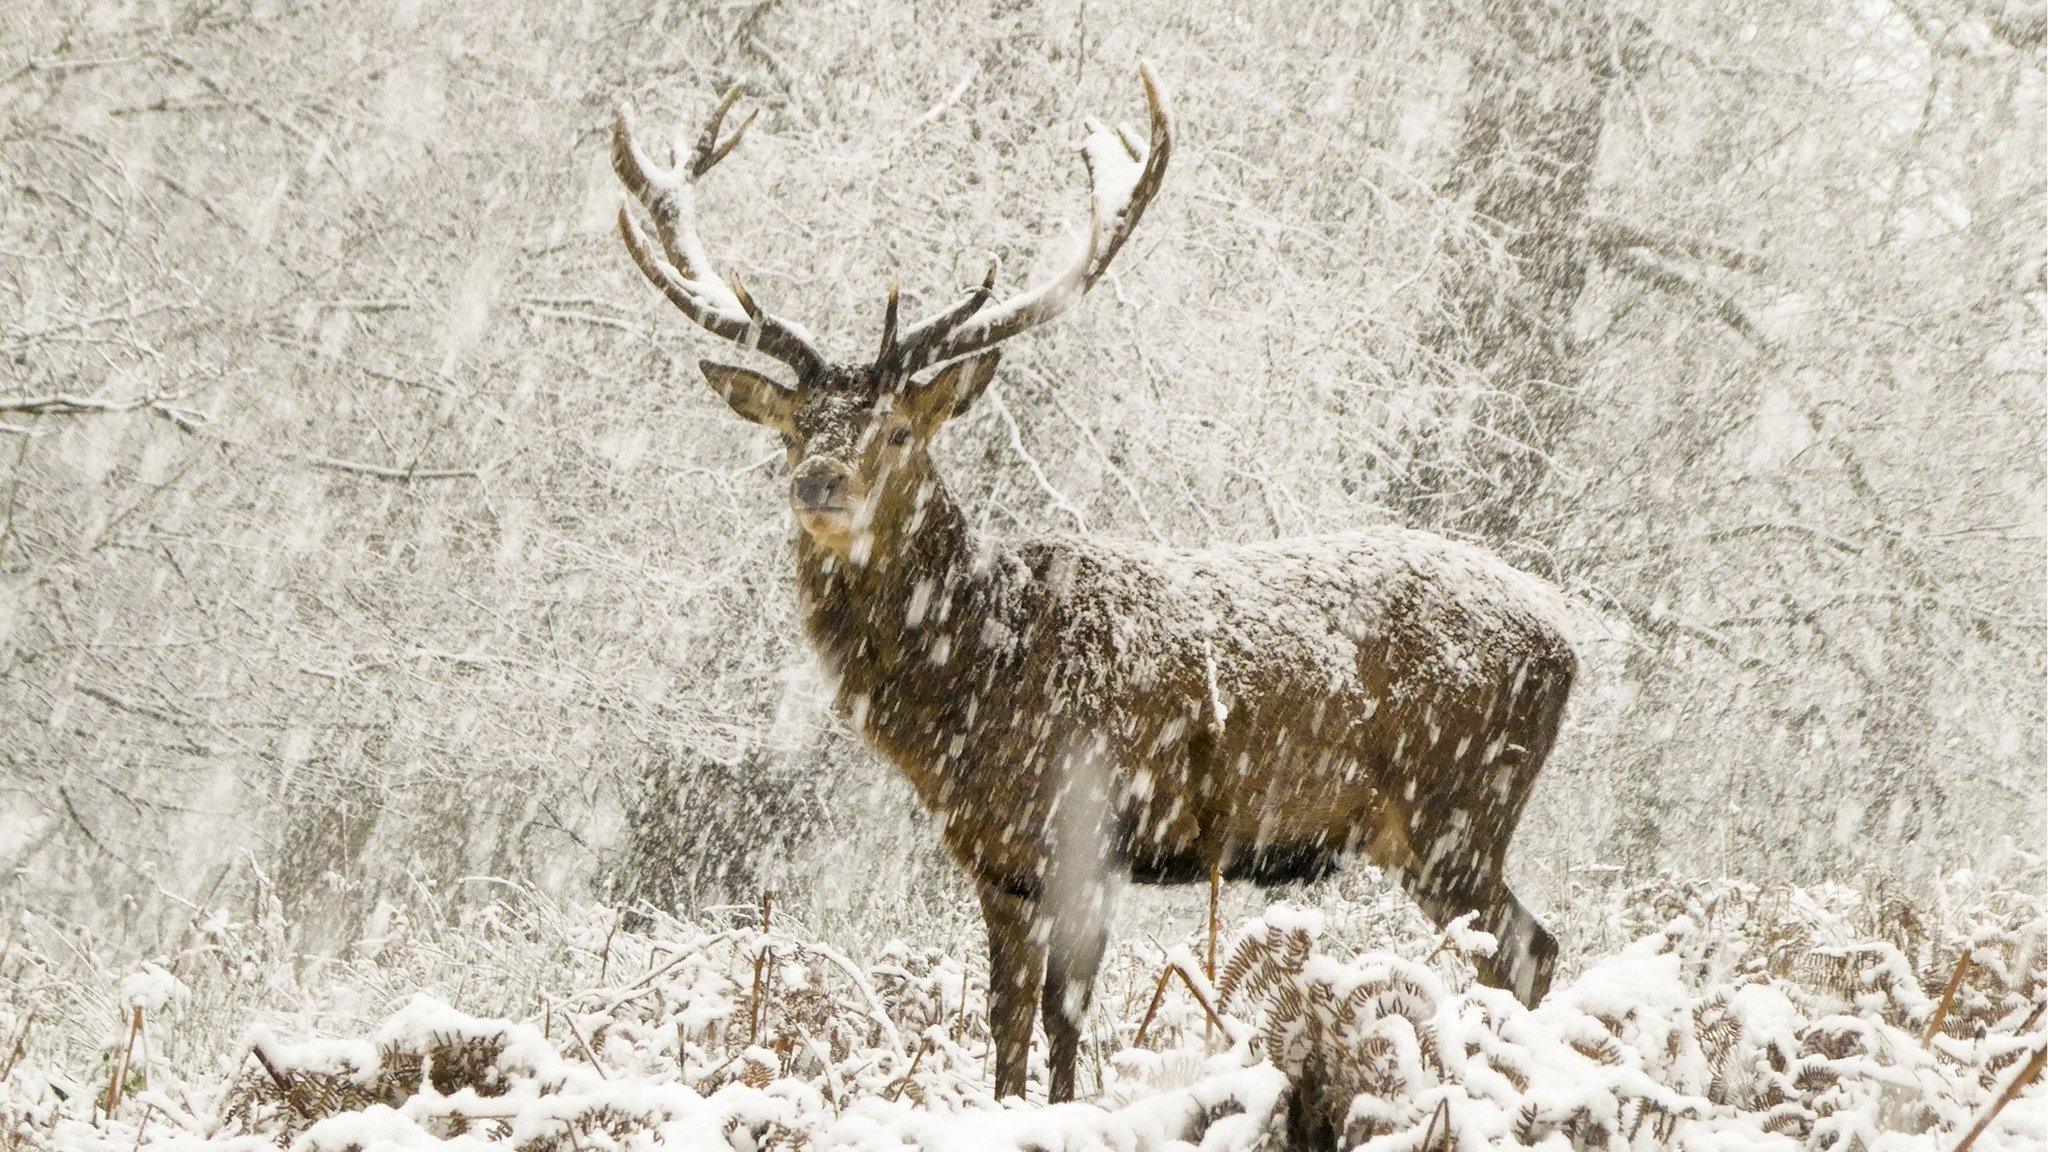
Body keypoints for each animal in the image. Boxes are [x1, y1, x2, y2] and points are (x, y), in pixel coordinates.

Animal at [602, 69, 1564, 1106]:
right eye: (791, 428)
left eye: (899, 430)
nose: (818, 482)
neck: (975, 686)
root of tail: (1568, 641)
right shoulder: (1000, 859)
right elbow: (1006, 1019)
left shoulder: (1091, 828)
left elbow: (1067, 1016)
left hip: (1457, 806)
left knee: (1523, 946)